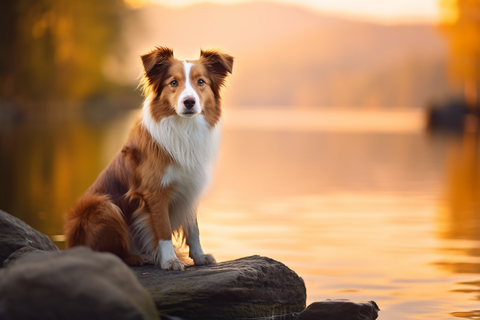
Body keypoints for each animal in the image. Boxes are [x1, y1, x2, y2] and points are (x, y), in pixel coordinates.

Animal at [64, 46, 234, 270]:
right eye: (173, 83)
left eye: (201, 81)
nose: (189, 102)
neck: (184, 128)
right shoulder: (154, 192)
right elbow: (163, 229)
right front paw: (170, 260)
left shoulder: (190, 187)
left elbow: (193, 228)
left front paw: (199, 256)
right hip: (103, 206)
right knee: (107, 254)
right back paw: (138, 258)